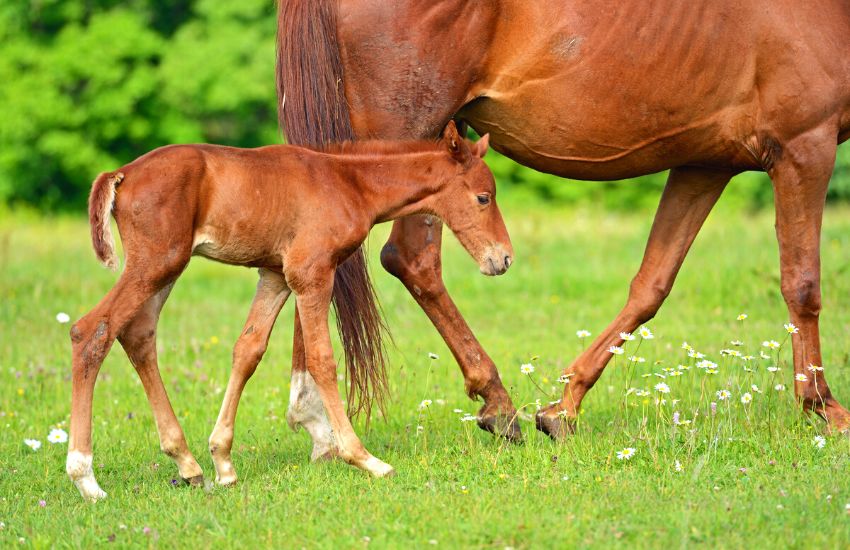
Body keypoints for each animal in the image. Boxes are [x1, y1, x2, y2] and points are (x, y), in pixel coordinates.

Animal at [66, 123, 510, 502]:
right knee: (91, 330)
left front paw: (223, 461)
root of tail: (120, 174)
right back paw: (85, 477)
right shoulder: (311, 273)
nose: (503, 258)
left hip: (165, 268)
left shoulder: (276, 274)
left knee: (138, 334)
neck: (348, 182)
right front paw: (364, 458)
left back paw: (187, 463)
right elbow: (322, 359)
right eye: (483, 197)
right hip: (155, 263)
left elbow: (248, 350)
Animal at [276, 0, 848, 442]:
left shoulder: (704, 164)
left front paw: (564, 406)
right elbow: (802, 285)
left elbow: (652, 284)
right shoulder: (804, 147)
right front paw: (824, 406)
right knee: (397, 260)